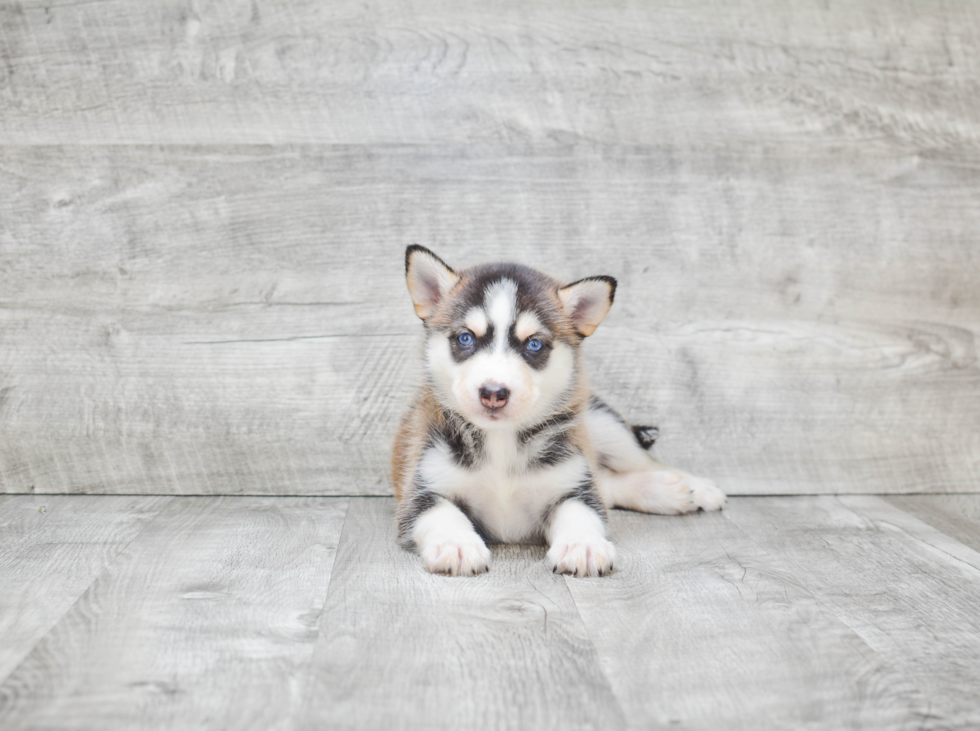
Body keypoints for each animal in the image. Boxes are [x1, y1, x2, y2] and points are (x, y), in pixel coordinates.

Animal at [386, 247, 724, 576]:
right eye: (465, 338)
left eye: (534, 345)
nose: (493, 393)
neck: (501, 442)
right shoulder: (421, 490)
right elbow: (442, 513)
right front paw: (456, 544)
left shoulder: (572, 485)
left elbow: (581, 512)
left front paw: (582, 545)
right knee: (608, 483)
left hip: (603, 424)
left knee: (639, 464)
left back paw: (692, 487)